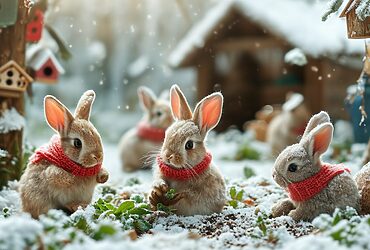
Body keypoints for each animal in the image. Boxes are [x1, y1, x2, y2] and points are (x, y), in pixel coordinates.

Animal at [19, 90, 108, 219]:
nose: (98, 156)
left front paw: (104, 177)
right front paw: (74, 178)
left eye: (98, 136)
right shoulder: (51, 172)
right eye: (77, 143)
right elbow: (58, 175)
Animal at [147, 85, 225, 216]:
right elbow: (158, 181)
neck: (178, 171)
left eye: (189, 145)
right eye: (166, 135)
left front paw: (171, 198)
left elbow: (187, 196)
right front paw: (157, 190)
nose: (169, 156)